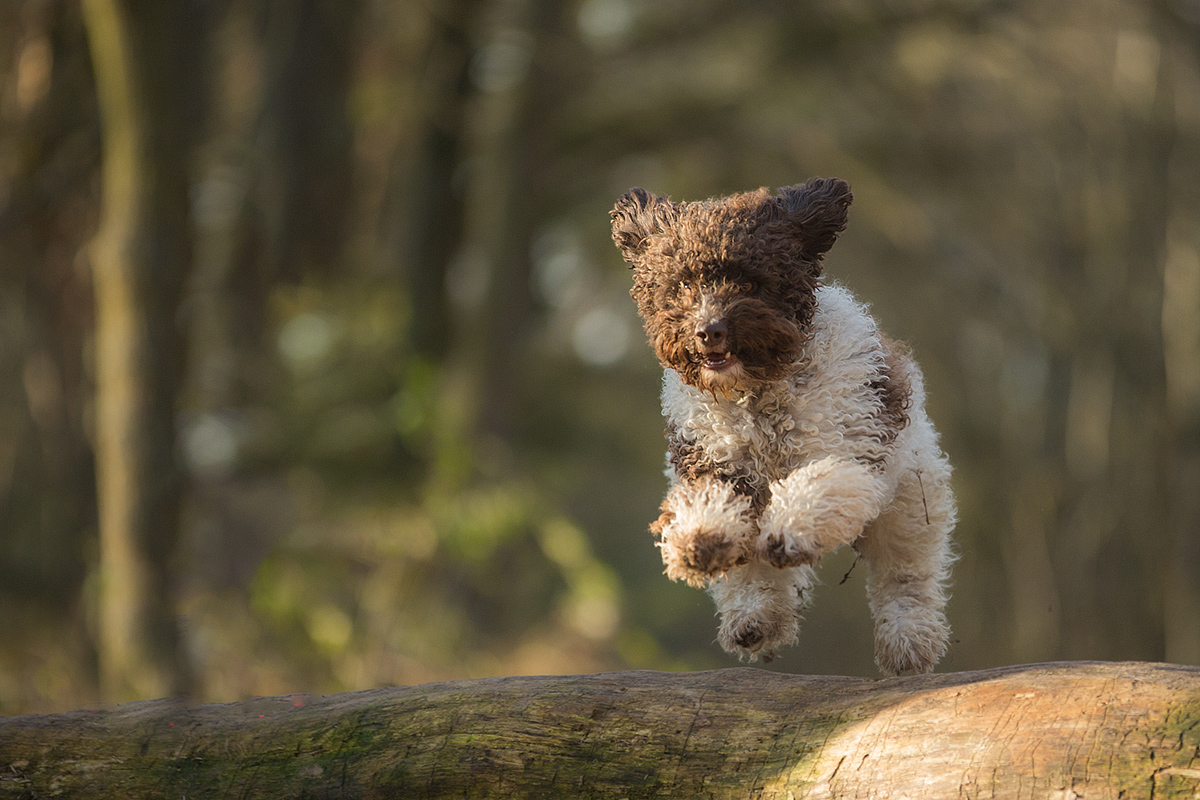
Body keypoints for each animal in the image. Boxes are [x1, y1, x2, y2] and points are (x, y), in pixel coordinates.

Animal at [609, 179, 955, 676]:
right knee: (755, 567)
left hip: (911, 501)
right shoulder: (713, 458)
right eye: (684, 284)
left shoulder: (849, 452)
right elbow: (710, 502)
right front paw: (700, 538)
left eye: (749, 281)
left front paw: (792, 527)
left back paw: (908, 640)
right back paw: (754, 618)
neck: (758, 394)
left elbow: (817, 485)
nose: (708, 331)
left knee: (905, 574)